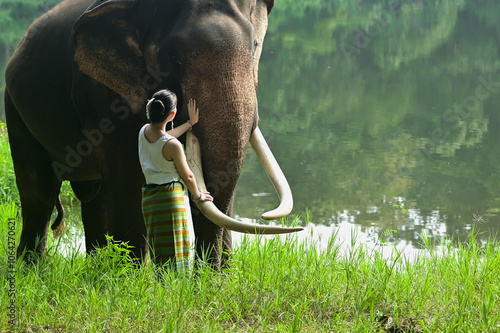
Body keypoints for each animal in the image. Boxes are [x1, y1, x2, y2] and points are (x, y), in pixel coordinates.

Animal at [3, 0, 300, 268]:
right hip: (15, 111)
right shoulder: (103, 95)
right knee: (38, 192)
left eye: (255, 47)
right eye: (174, 56)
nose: (205, 278)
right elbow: (127, 180)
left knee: (92, 196)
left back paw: (94, 267)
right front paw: (130, 278)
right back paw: (31, 270)